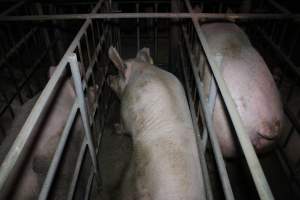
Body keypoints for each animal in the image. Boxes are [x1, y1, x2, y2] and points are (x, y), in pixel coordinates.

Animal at [108, 47, 206, 200]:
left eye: (118, 74)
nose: (108, 78)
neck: (142, 68)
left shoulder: (125, 111)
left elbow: (124, 127)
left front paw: (115, 128)